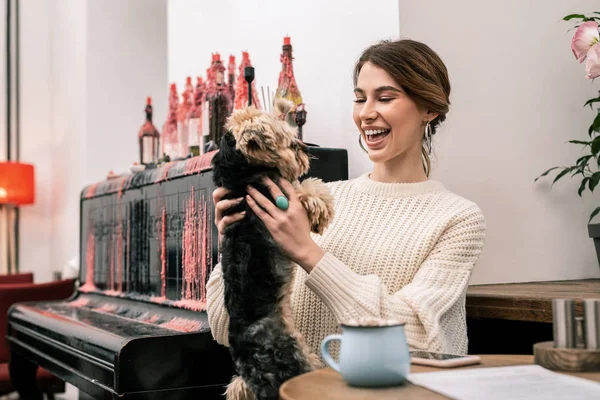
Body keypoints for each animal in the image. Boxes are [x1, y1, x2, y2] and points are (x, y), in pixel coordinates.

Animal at [211, 101, 332, 400]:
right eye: (289, 142)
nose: (305, 149)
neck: (241, 177)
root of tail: (250, 368)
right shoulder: (281, 199)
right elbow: (304, 192)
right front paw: (321, 202)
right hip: (295, 361)